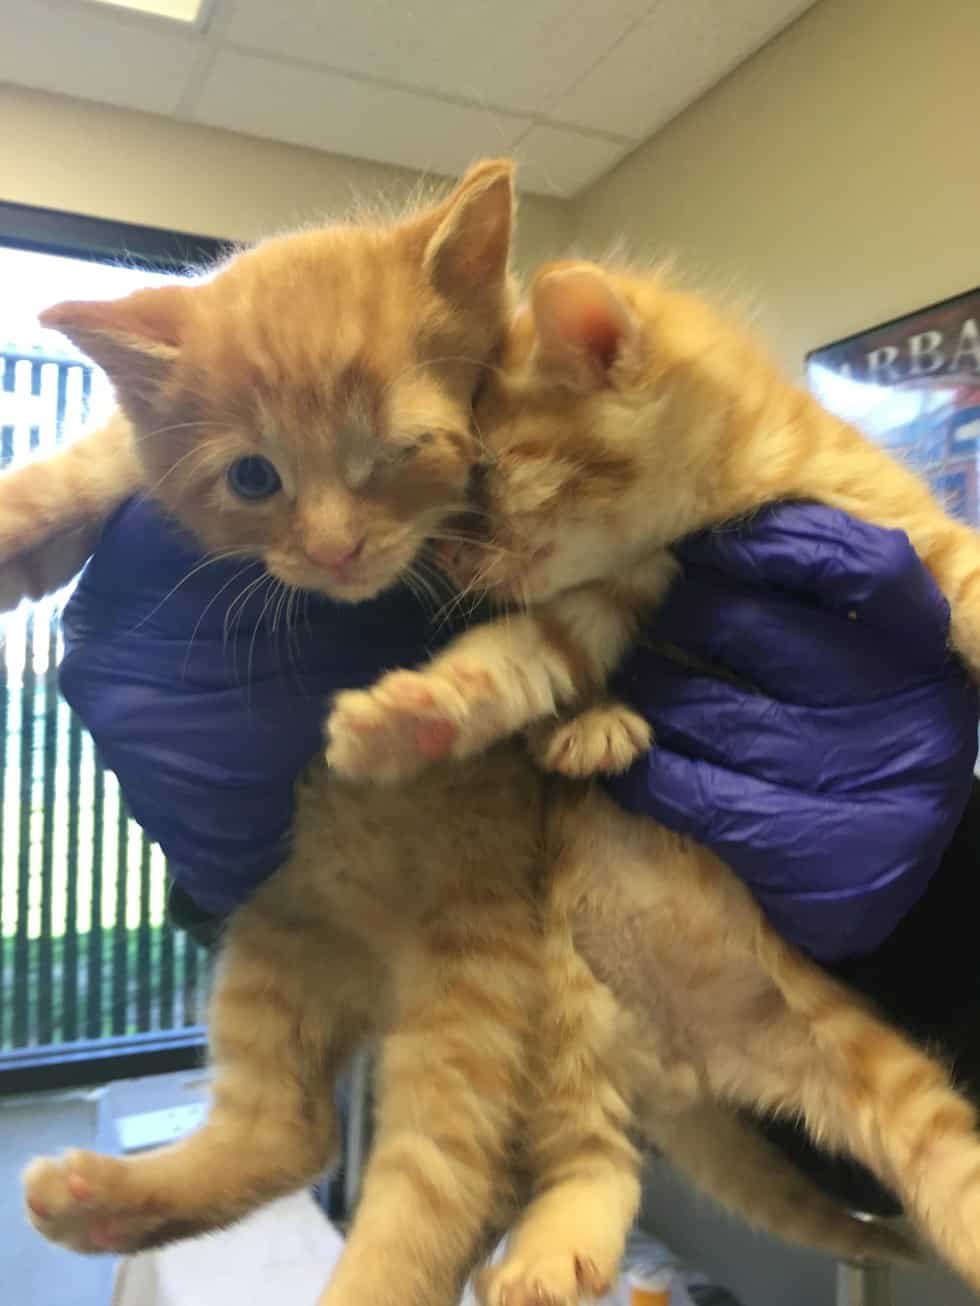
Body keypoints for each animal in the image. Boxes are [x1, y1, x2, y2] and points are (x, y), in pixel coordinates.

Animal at [323, 257, 980, 1298]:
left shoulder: (903, 533)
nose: (451, 563)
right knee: (595, 1162)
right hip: (568, 1020)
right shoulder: (591, 603)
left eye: (489, 480)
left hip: (865, 1062)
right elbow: (508, 665)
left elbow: (969, 581)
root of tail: (695, 1067)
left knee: (938, 1157)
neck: (703, 525)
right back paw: (548, 1253)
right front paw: (409, 717)